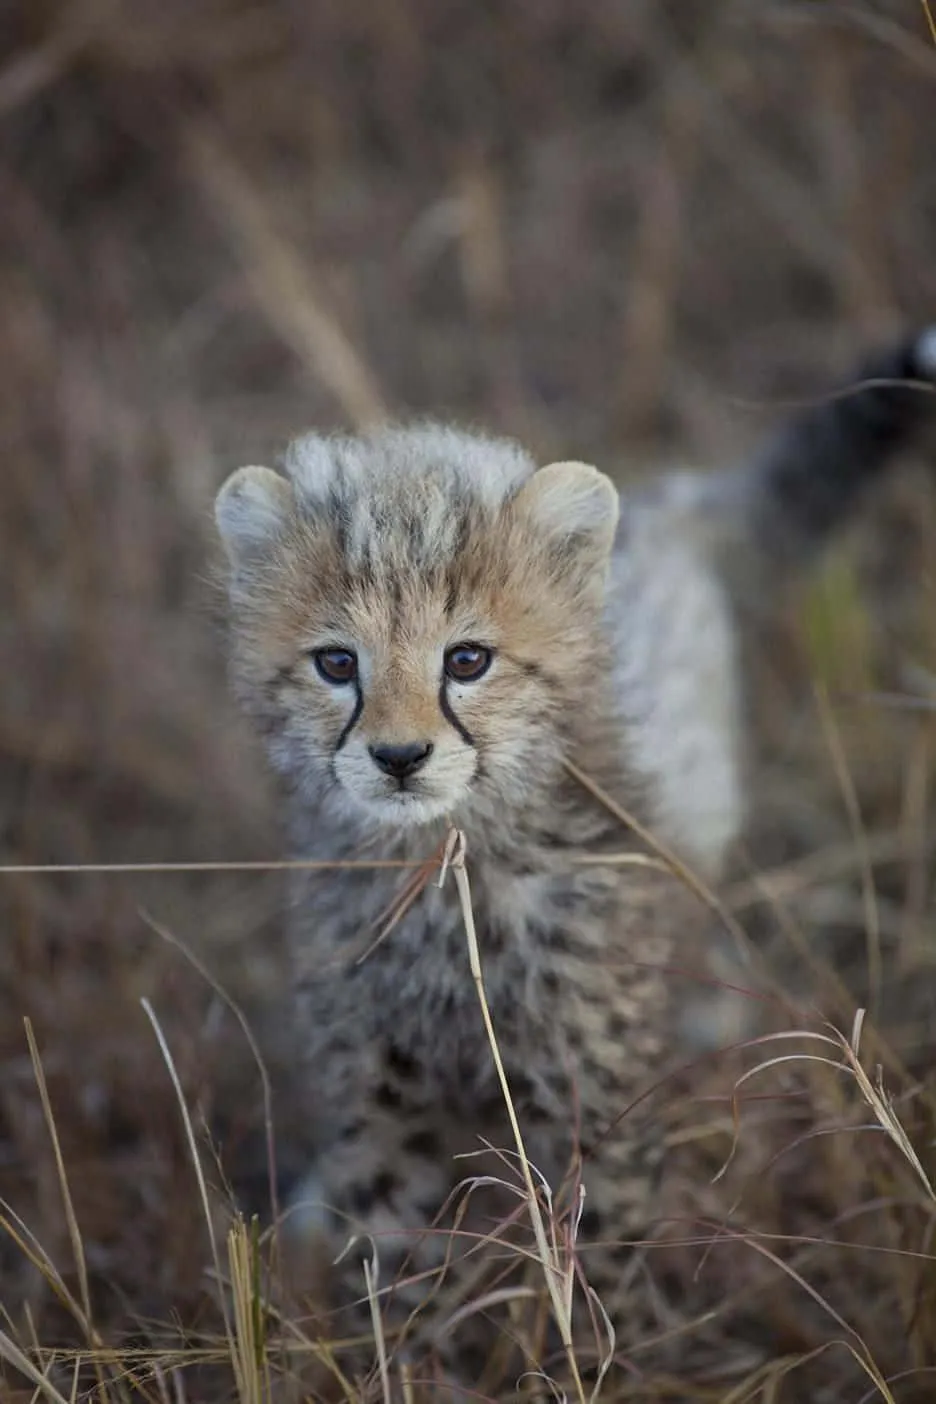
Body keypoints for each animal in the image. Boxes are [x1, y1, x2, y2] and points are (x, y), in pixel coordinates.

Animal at [214, 328, 936, 1395]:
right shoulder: (383, 1098)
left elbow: (597, 1260)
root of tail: (670, 504)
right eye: (336, 664)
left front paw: (597, 1368)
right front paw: (401, 1364)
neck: (452, 869)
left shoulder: (590, 1102)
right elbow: (387, 1252)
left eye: (466, 660)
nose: (399, 757)